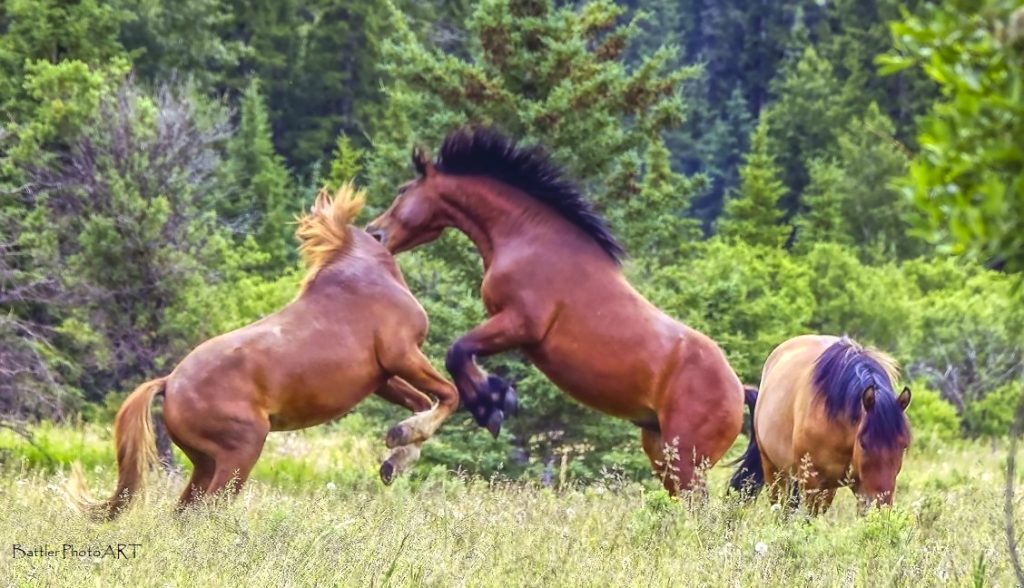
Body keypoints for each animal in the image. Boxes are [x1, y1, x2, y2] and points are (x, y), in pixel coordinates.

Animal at [68, 184, 459, 519]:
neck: (369, 270)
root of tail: (169, 383)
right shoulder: (402, 354)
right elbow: (449, 395)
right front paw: (402, 440)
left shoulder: (381, 377)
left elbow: (423, 402)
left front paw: (396, 456)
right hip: (241, 452)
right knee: (206, 511)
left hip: (204, 461)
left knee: (183, 513)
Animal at [365, 127, 744, 494]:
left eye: (402, 191)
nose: (374, 233)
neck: (529, 239)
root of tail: (741, 391)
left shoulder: (521, 323)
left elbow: (457, 351)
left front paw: (491, 405)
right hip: (660, 452)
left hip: (687, 460)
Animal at [729, 335, 912, 513]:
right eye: (863, 444)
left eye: (903, 446)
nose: (880, 507)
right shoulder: (812, 482)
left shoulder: (848, 488)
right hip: (774, 471)